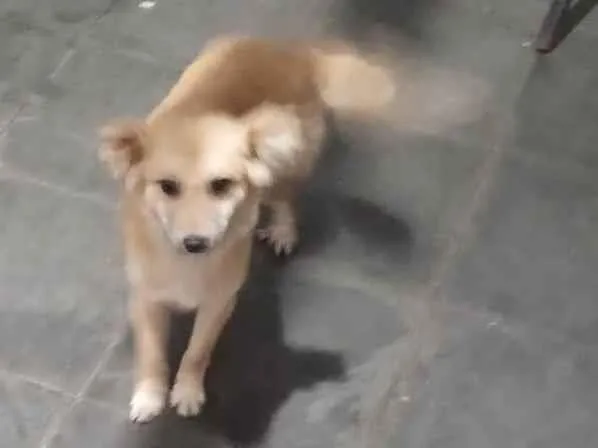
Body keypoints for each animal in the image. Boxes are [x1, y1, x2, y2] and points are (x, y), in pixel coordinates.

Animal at [99, 36, 394, 423]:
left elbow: (197, 351)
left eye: (222, 185)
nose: (195, 242)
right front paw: (149, 395)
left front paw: (188, 391)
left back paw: (284, 230)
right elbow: (151, 354)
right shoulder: (146, 299)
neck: (186, 264)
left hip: (285, 165)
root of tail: (290, 49)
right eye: (167, 187)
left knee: (286, 198)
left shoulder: (219, 303)